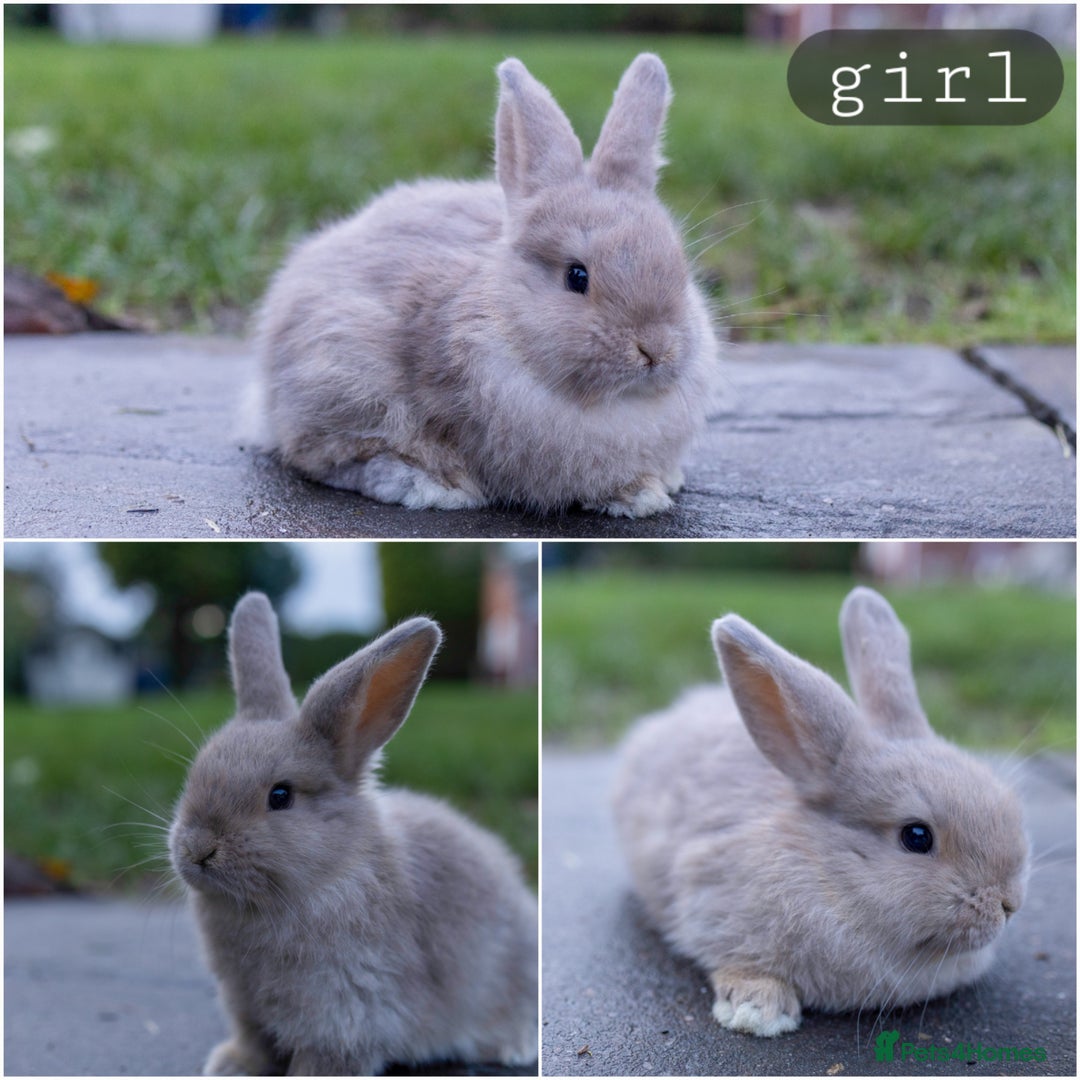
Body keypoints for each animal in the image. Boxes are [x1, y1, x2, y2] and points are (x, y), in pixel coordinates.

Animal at [168, 592, 538, 1075]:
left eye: (281, 796)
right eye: (194, 775)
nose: (196, 849)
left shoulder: (346, 1011)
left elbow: (322, 1060)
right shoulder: (244, 1003)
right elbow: (253, 1040)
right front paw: (230, 1066)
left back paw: (511, 1045)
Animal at [251, 53, 718, 518]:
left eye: (679, 267)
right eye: (577, 276)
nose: (656, 349)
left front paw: (644, 490)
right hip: (339, 375)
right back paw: (427, 485)